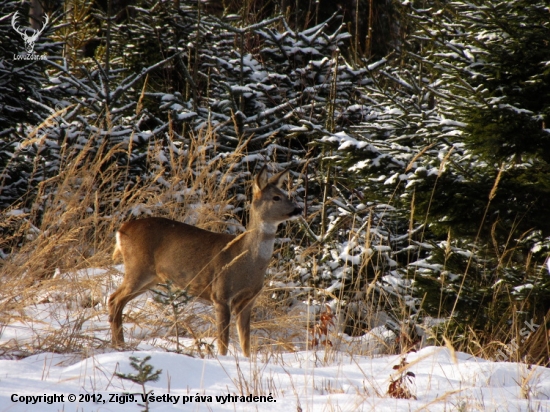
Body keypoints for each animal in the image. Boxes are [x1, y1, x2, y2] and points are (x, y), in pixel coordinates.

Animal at [109, 166, 304, 356]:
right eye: (276, 197)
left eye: (286, 194)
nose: (298, 209)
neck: (246, 260)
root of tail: (122, 229)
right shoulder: (221, 294)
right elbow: (223, 343)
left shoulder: (248, 302)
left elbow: (246, 345)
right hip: (137, 267)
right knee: (114, 299)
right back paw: (119, 345)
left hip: (151, 277)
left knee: (119, 301)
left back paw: (119, 344)